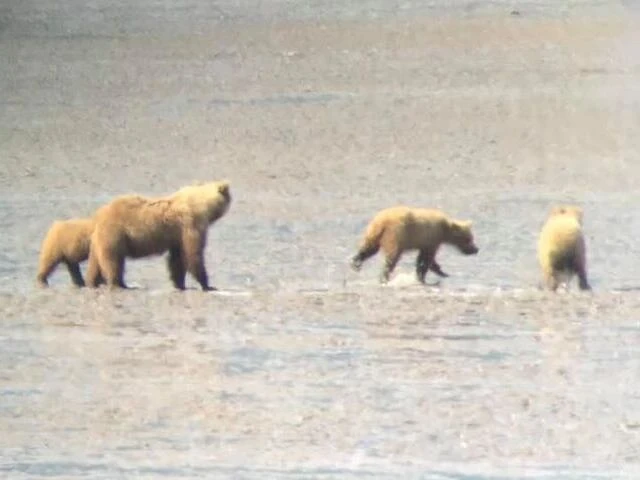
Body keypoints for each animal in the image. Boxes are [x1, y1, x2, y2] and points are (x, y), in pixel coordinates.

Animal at [85, 180, 231, 291]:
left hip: (99, 240)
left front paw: (179, 284)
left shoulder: (177, 236)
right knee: (113, 262)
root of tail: (98, 215)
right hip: (115, 234)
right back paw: (119, 283)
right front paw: (207, 285)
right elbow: (193, 254)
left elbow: (177, 259)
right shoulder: (191, 225)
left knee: (95, 264)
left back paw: (92, 282)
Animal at [350, 206, 479, 284]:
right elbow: (426, 259)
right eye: (469, 239)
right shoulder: (432, 238)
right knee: (392, 257)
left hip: (373, 233)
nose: (476, 249)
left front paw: (438, 271)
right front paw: (428, 275)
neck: (445, 229)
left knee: (368, 248)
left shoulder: (426, 242)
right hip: (396, 235)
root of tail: (382, 222)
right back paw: (384, 276)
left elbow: (424, 258)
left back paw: (356, 263)